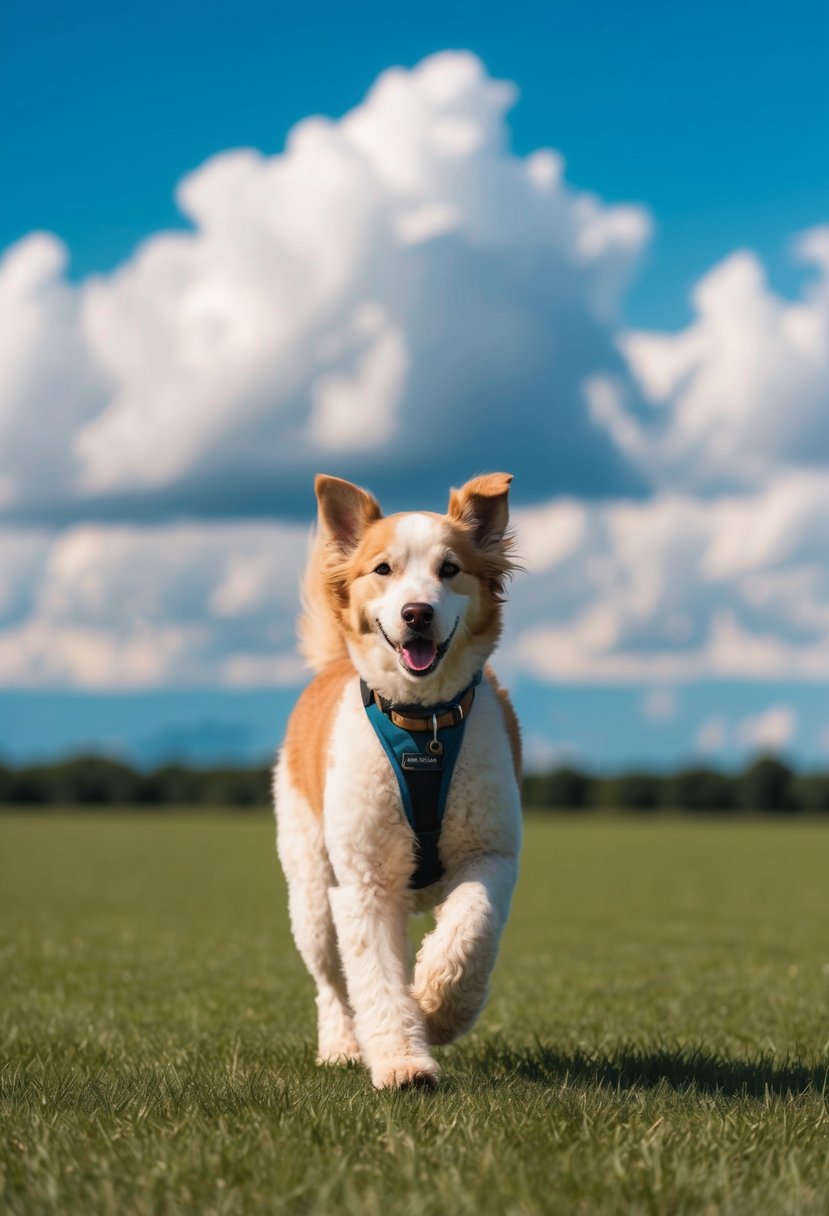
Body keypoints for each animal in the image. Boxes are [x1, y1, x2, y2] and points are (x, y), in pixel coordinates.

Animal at [271, 469, 520, 1089]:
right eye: (383, 569)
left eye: (449, 569)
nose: (416, 614)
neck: (422, 722)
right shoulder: (363, 883)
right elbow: (374, 979)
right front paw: (404, 1064)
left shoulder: (491, 854)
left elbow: (470, 930)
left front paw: (438, 1007)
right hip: (311, 893)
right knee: (331, 983)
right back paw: (341, 1045)